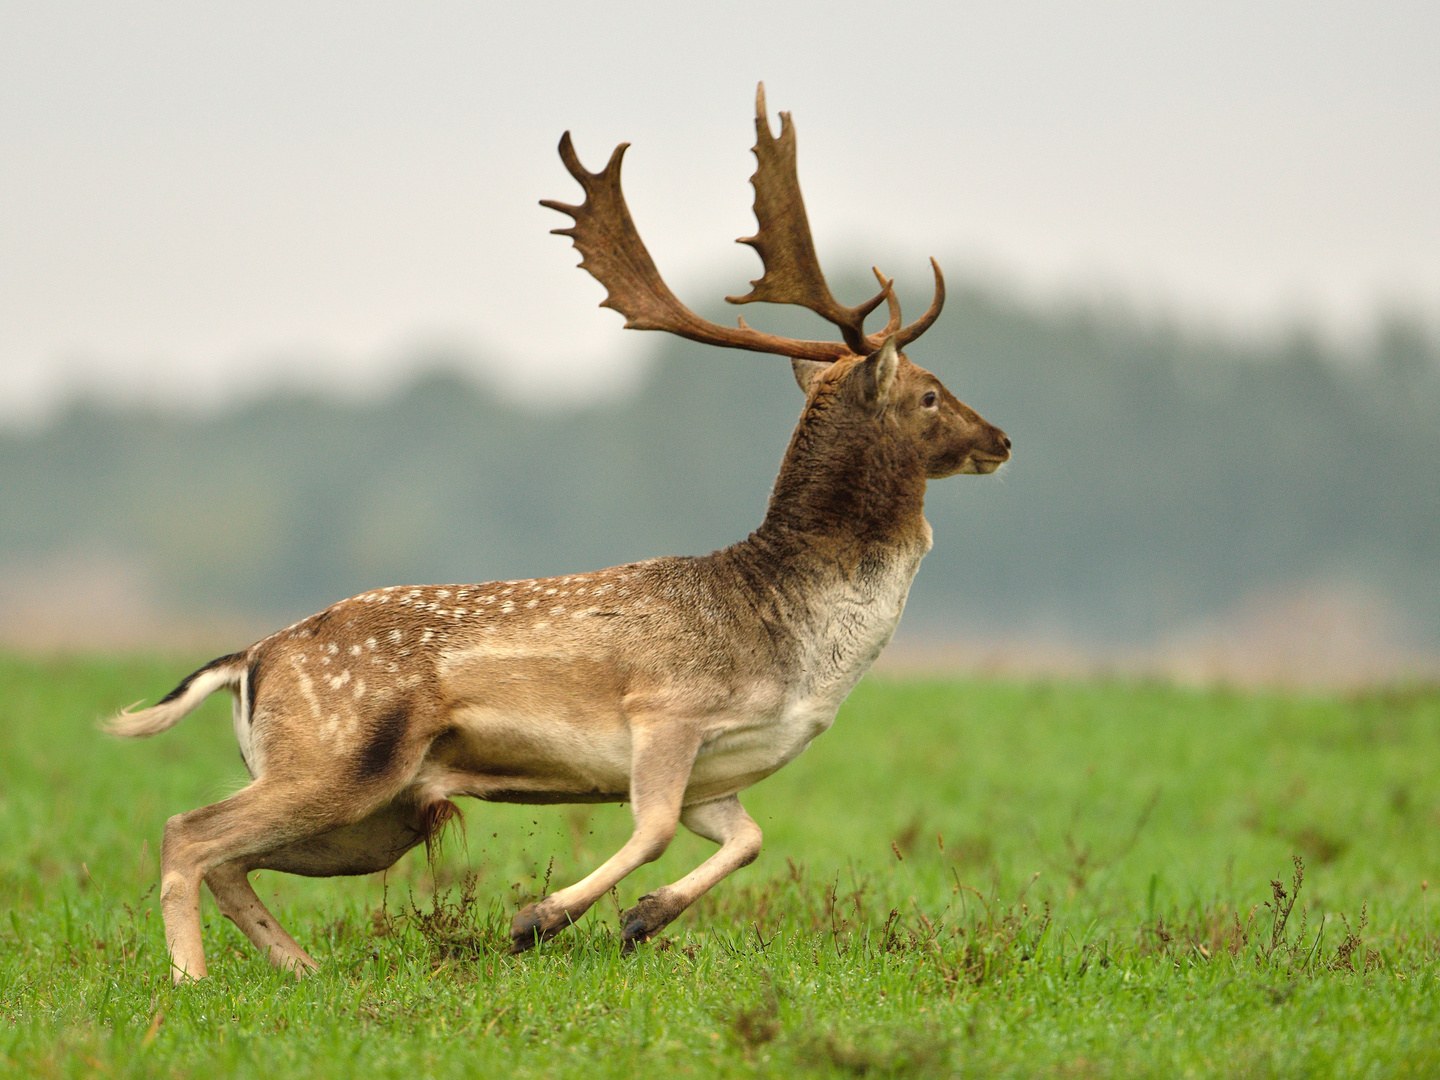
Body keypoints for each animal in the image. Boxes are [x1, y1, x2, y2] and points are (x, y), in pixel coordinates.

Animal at [109, 84, 1013, 979]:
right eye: (931, 394)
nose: (1001, 439)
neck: (801, 651)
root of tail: (248, 659)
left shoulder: (714, 773)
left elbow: (750, 839)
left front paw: (644, 918)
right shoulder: (665, 710)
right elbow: (651, 830)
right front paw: (537, 919)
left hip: (382, 814)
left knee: (230, 857)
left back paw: (300, 969)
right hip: (334, 757)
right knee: (188, 833)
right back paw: (192, 982)